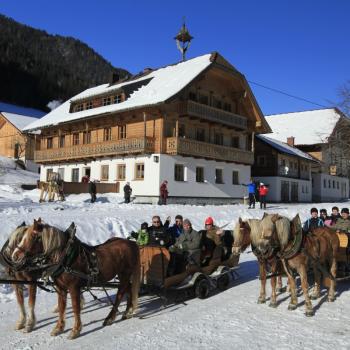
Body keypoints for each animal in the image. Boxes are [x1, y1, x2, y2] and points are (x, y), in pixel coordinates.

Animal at [12, 219, 141, 340]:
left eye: (33, 237)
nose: (15, 255)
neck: (65, 258)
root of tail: (131, 243)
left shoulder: (74, 288)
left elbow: (75, 308)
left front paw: (75, 330)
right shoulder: (61, 288)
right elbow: (62, 307)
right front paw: (59, 328)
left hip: (125, 274)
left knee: (120, 293)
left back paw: (110, 318)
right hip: (123, 275)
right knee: (129, 289)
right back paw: (128, 311)